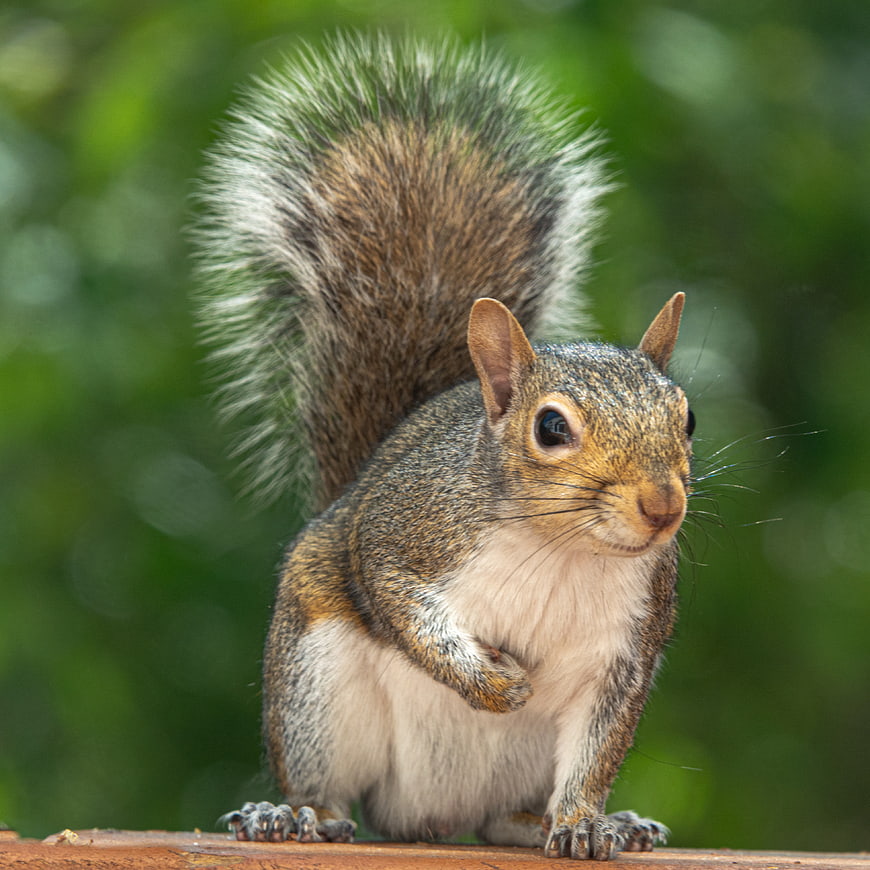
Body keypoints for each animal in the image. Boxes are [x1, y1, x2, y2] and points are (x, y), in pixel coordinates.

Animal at [194, 33, 694, 861]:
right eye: (550, 428)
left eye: (687, 418)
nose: (663, 505)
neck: (561, 548)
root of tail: (428, 816)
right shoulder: (404, 529)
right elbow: (397, 597)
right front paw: (489, 682)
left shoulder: (625, 651)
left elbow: (596, 751)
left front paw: (586, 821)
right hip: (317, 685)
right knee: (329, 788)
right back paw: (294, 816)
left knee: (502, 818)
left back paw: (567, 824)